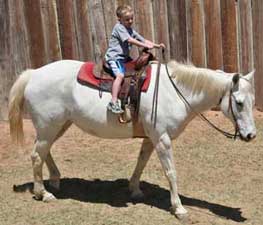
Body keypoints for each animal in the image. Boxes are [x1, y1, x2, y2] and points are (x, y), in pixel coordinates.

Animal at [9, 59, 256, 218]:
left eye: (253, 101)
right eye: (239, 103)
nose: (251, 135)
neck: (174, 92)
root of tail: (34, 73)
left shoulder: (151, 138)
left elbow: (141, 162)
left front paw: (135, 189)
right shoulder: (162, 138)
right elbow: (171, 172)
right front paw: (178, 208)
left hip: (57, 126)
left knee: (44, 151)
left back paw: (55, 180)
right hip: (49, 126)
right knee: (36, 155)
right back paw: (43, 193)